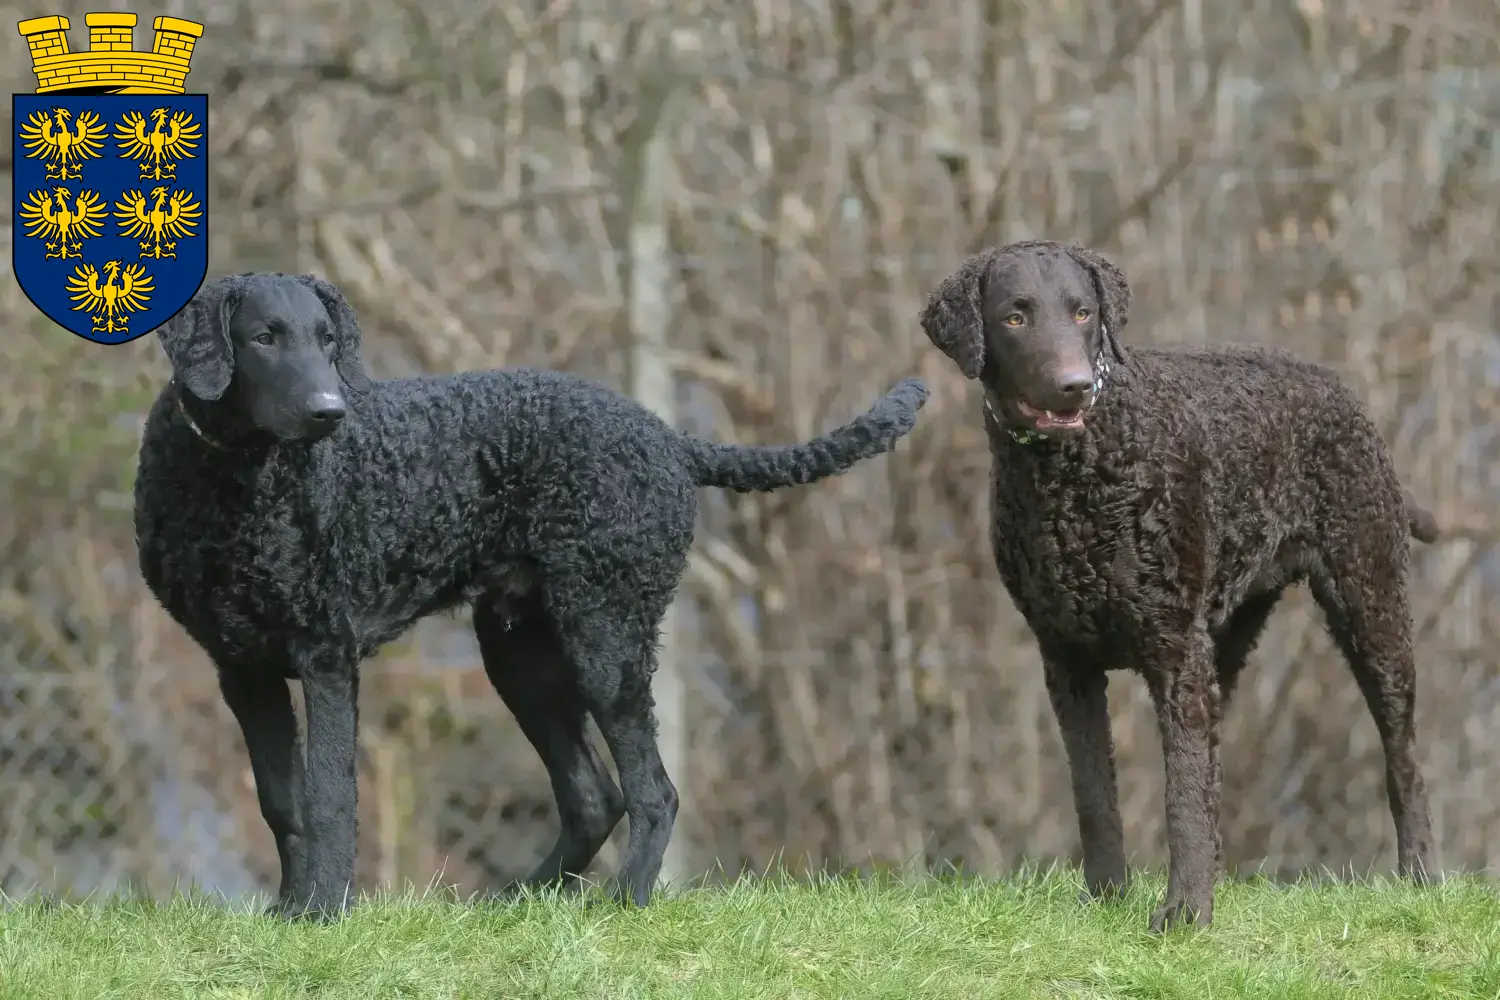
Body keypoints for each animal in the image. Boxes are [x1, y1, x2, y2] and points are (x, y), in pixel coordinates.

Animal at [135, 269, 924, 917]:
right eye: (264, 338)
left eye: (328, 341)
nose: (332, 411)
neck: (239, 483)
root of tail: (669, 439)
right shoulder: (242, 667)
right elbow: (282, 802)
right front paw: (288, 914)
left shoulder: (326, 653)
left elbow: (329, 795)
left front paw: (325, 913)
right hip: (522, 655)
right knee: (593, 798)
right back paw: (519, 902)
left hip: (607, 638)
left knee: (653, 791)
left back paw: (625, 902)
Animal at [918, 239, 1434, 929]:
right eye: (1015, 317)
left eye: (1083, 313)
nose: (1074, 387)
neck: (1073, 478)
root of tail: (1331, 382)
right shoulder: (1067, 660)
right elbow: (1095, 793)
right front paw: (1105, 898)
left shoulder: (1173, 654)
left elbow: (1181, 793)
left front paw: (1185, 913)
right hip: (1226, 638)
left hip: (1371, 602)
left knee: (1402, 755)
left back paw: (1420, 875)